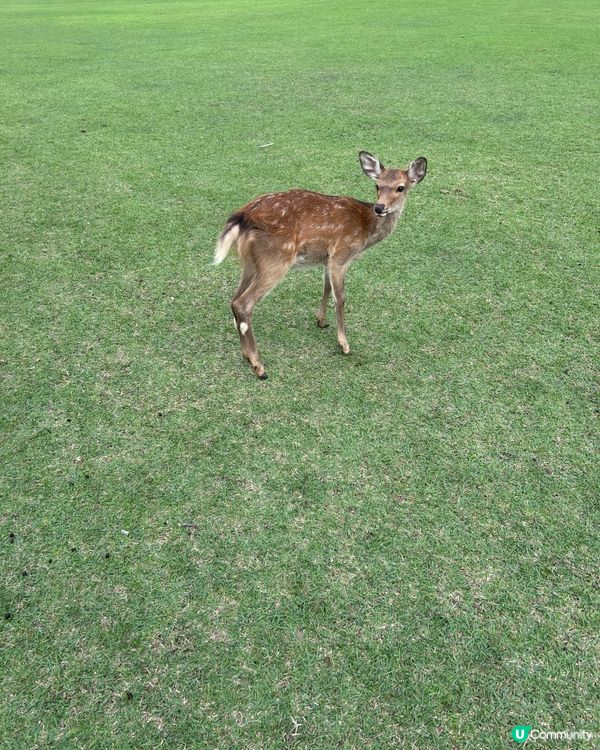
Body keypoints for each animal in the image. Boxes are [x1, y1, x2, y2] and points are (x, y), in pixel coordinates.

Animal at [213, 151, 427, 379]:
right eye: (377, 185)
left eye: (400, 187)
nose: (380, 207)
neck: (365, 232)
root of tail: (241, 218)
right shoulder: (341, 254)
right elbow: (340, 297)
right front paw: (344, 345)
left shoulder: (327, 258)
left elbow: (326, 287)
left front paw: (321, 321)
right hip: (276, 260)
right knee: (243, 303)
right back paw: (259, 366)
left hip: (250, 263)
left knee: (234, 300)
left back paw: (246, 355)